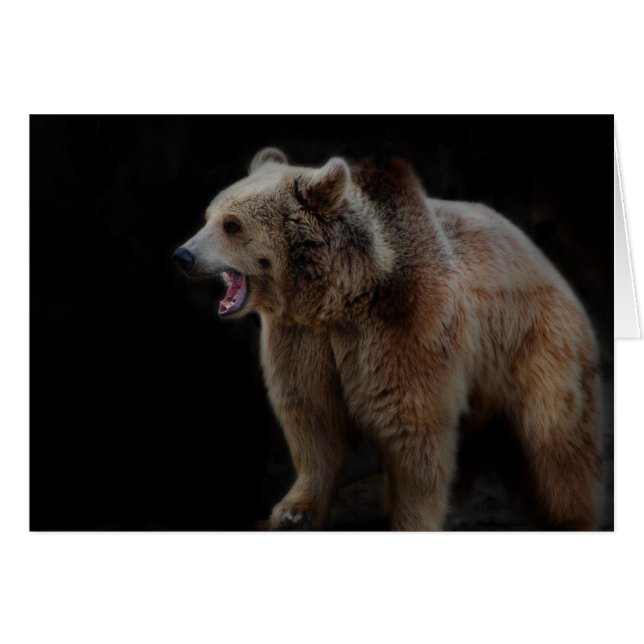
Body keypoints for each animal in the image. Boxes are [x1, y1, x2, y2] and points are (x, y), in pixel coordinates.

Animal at [174, 147, 603, 531]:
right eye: (208, 216)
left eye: (232, 224)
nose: (183, 255)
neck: (339, 294)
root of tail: (540, 257)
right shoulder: (302, 337)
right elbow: (312, 415)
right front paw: (294, 511)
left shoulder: (403, 325)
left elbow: (412, 424)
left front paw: (412, 520)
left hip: (533, 339)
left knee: (554, 436)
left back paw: (571, 516)